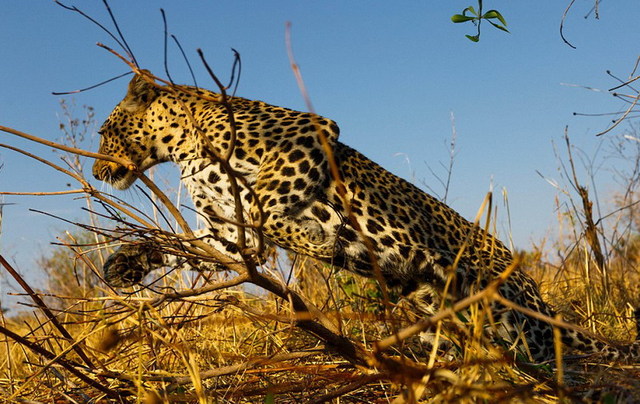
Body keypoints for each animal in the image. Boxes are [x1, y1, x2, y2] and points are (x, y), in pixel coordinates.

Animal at [91, 72, 640, 362]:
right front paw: (125, 264)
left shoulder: (309, 133)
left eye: (102, 131)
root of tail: (536, 293)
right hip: (446, 307)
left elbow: (266, 205)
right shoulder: (226, 231)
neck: (179, 149)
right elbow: (183, 241)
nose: (95, 171)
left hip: (513, 313)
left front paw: (317, 239)